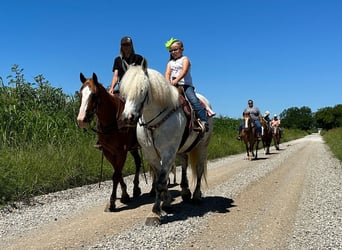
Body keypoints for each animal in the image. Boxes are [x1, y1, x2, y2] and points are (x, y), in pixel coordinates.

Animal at [77, 72, 142, 211]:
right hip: (133, 148)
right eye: (80, 94)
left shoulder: (122, 151)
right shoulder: (108, 152)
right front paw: (125, 195)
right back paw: (136, 188)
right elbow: (118, 172)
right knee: (138, 162)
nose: (81, 120)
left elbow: (116, 175)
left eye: (94, 95)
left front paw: (112, 202)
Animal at [119, 63, 212, 227]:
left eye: (142, 90)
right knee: (184, 163)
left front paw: (155, 212)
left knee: (200, 169)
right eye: (124, 91)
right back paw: (185, 191)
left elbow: (161, 182)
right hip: (181, 149)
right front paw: (166, 202)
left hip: (201, 147)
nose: (128, 118)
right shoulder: (151, 154)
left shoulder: (168, 152)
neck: (154, 122)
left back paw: (196, 196)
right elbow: (160, 179)